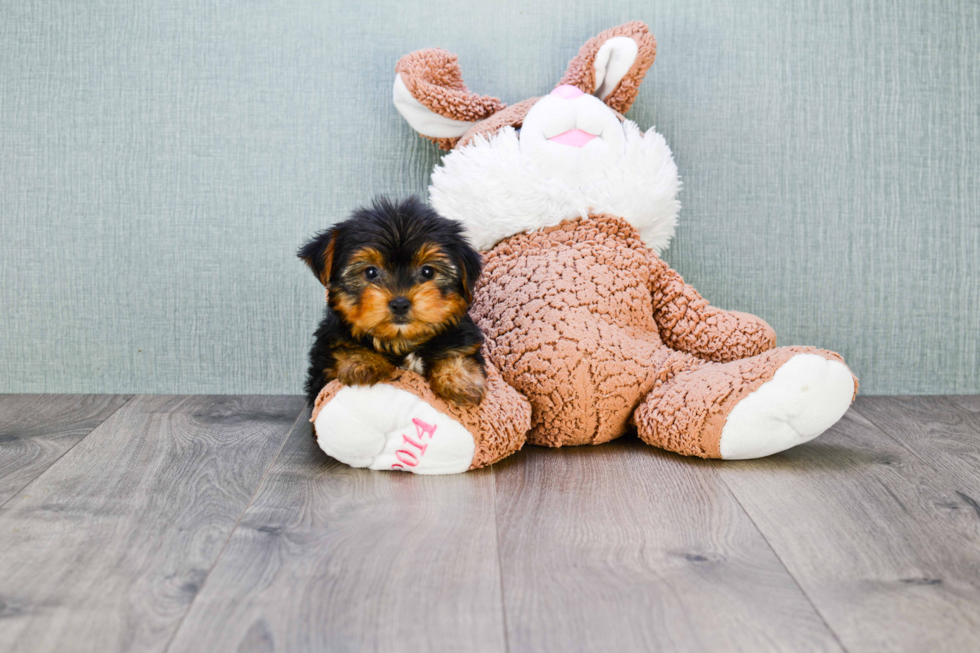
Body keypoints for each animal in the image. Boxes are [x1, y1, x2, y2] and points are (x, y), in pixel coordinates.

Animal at [296, 196, 484, 404]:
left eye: (427, 271)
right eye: (370, 272)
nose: (400, 304)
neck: (401, 341)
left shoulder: (463, 340)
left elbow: (458, 354)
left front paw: (459, 380)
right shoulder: (329, 345)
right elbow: (345, 347)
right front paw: (363, 362)